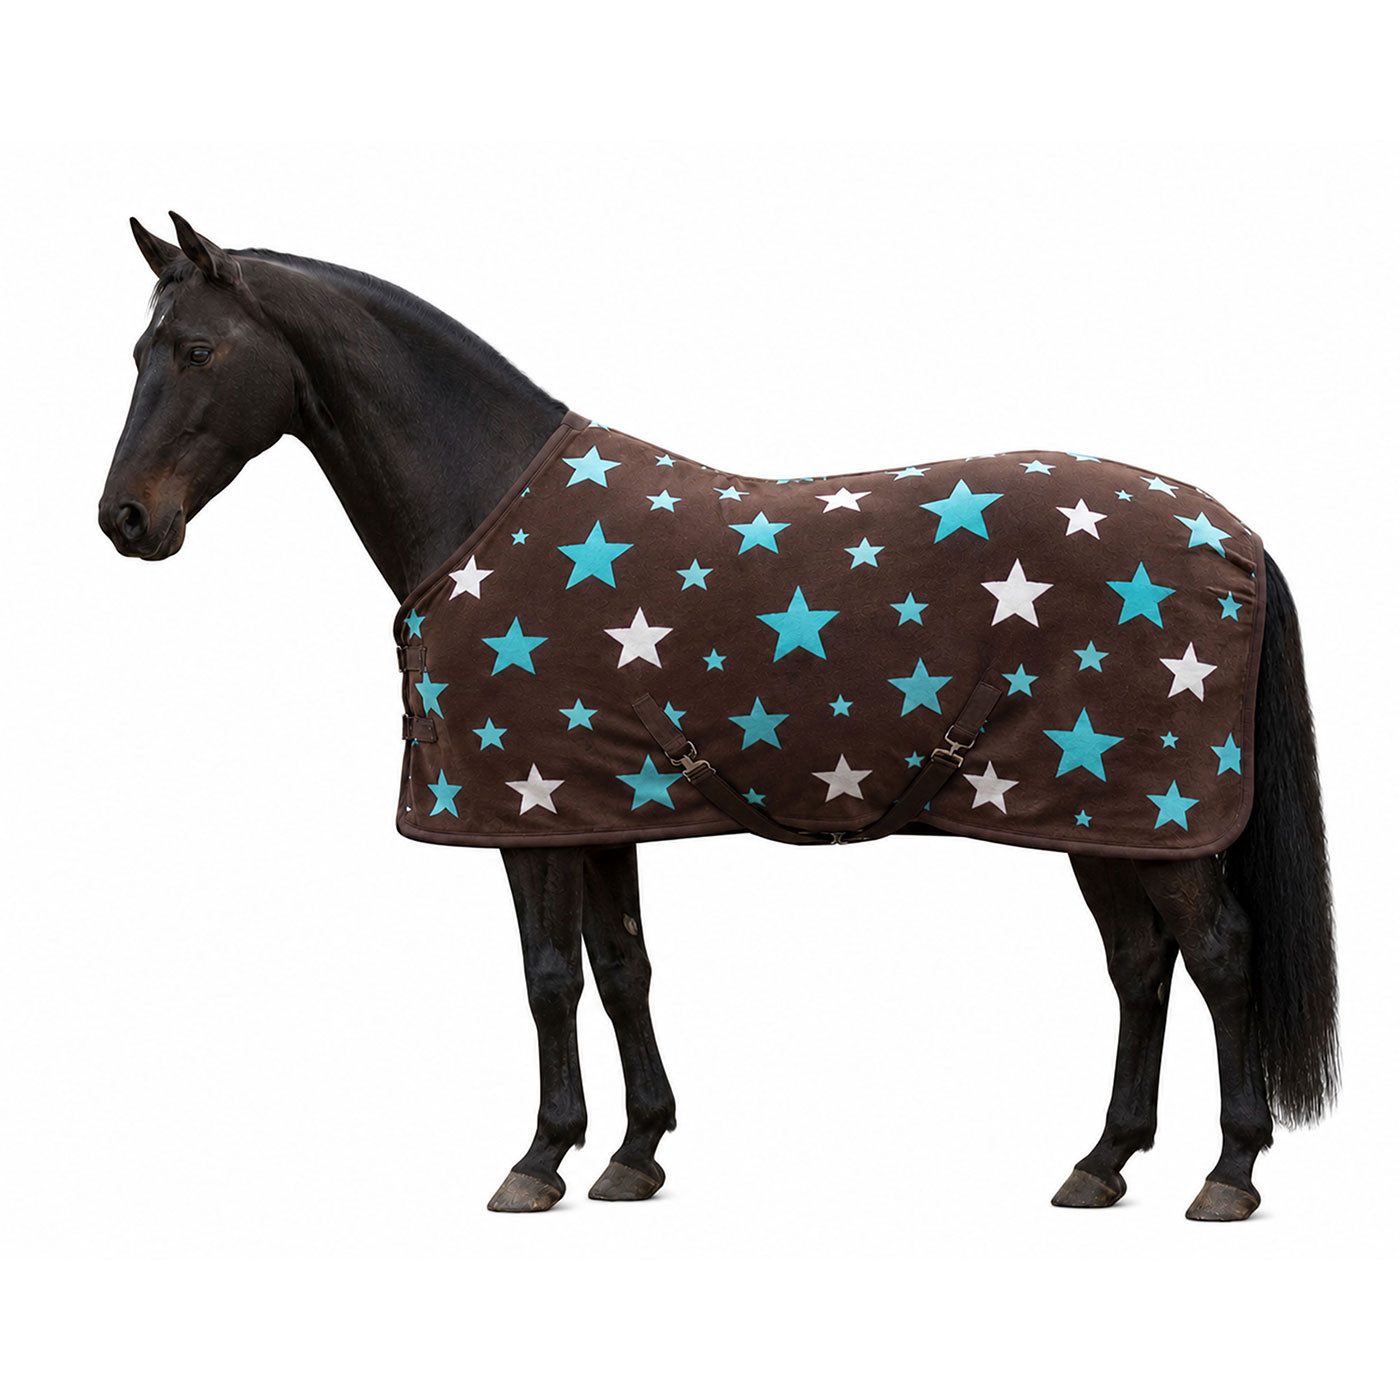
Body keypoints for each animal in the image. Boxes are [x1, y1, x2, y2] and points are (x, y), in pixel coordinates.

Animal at [99, 214, 1337, 1219]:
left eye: (196, 350)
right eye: (136, 353)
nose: (124, 519)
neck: (484, 507)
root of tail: (1231, 535)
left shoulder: (525, 814)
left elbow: (548, 977)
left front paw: (538, 1160)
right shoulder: (591, 805)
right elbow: (620, 967)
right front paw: (633, 1151)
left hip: (1152, 812)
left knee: (1217, 955)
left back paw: (1227, 1172)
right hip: (1098, 815)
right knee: (1138, 964)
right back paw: (1100, 1162)